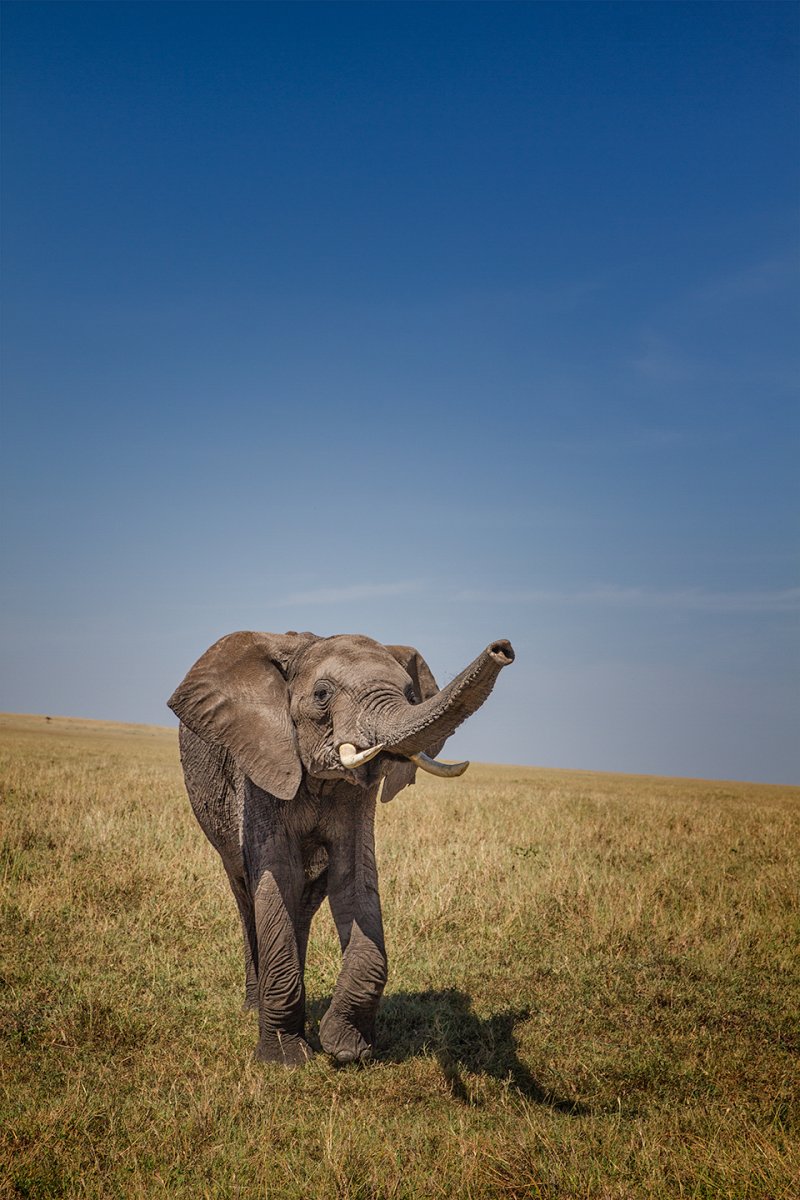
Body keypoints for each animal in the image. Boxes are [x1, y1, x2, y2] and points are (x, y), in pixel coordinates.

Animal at [168, 630, 514, 1067]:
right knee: (247, 894)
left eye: (410, 694)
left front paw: (347, 1049)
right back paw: (254, 1006)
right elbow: (277, 874)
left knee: (305, 899)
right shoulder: (263, 765)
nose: (503, 648)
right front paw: (284, 1060)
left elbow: (354, 877)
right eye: (321, 695)